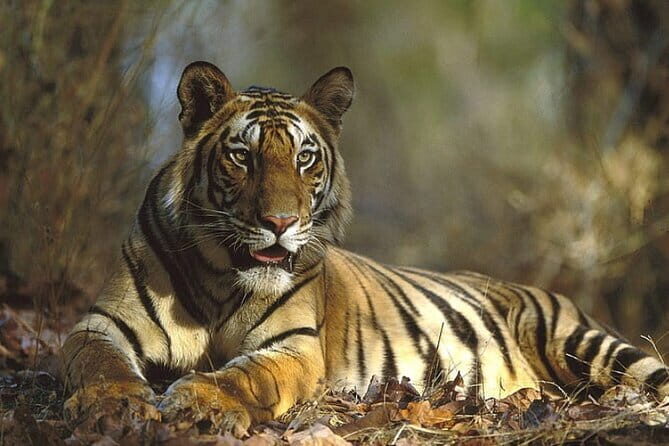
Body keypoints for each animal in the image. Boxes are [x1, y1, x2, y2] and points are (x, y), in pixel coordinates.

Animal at [62, 61, 669, 431]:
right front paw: (111, 404)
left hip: (586, 344)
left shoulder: (293, 346)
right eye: (242, 156)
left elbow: (243, 374)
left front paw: (197, 400)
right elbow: (97, 363)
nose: (280, 222)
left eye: (304, 157)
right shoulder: (100, 323)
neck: (220, 276)